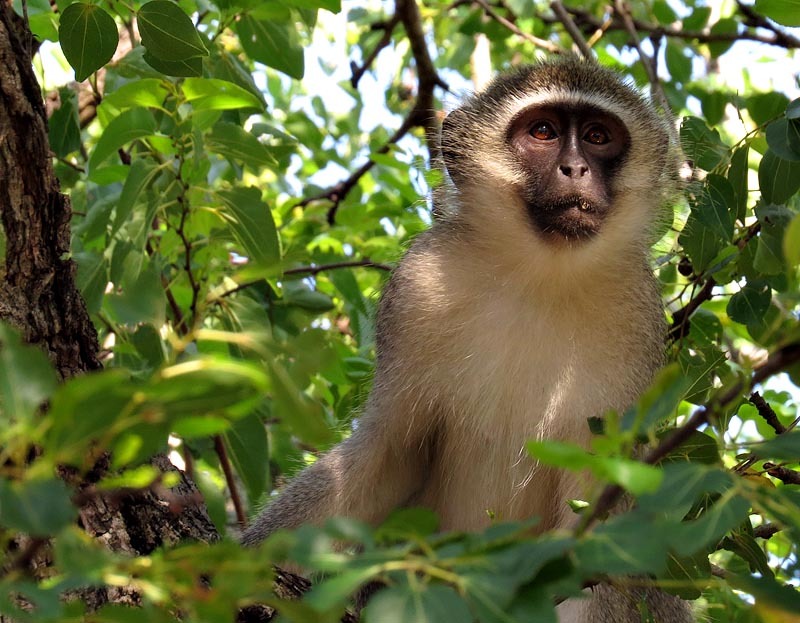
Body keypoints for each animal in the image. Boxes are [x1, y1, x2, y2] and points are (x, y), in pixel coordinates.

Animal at [242, 56, 688, 620]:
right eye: (542, 132)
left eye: (597, 136)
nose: (576, 169)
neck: (539, 276)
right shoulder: (419, 288)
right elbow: (387, 453)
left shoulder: (638, 323)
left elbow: (602, 531)